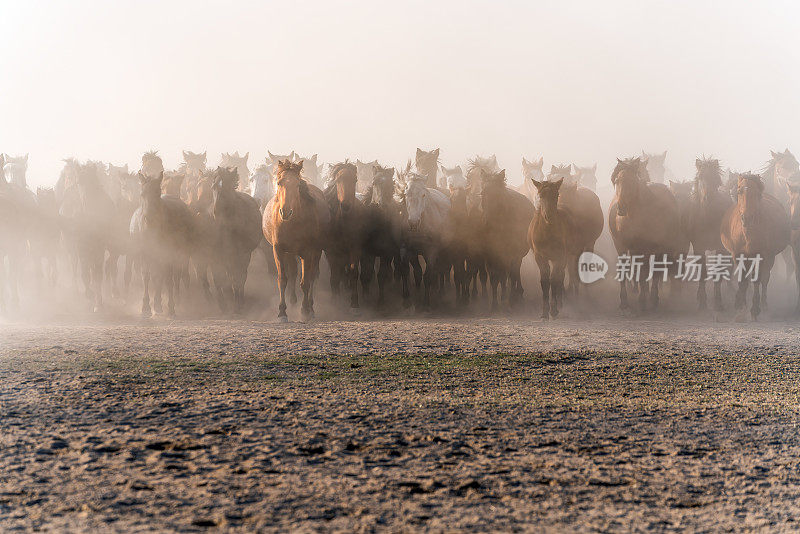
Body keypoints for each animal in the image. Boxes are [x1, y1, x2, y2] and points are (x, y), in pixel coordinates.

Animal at [478, 168, 536, 310]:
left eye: (497, 195)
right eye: (482, 193)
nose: (486, 223)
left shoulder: (514, 254)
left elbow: (512, 274)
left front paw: (512, 299)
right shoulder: (490, 255)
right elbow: (494, 278)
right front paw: (494, 304)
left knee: (514, 272)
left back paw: (516, 294)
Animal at [608, 157, 684, 312]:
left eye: (632, 181)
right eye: (617, 180)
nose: (621, 207)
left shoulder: (648, 247)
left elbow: (646, 272)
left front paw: (644, 299)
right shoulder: (622, 245)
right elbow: (627, 270)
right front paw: (624, 301)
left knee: (655, 270)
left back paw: (652, 297)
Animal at [720, 175, 792, 322]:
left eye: (757, 193)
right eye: (739, 191)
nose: (746, 218)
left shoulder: (762, 256)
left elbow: (757, 279)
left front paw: (754, 310)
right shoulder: (738, 255)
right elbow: (743, 280)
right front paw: (741, 309)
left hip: (770, 258)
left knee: (764, 279)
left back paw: (764, 306)